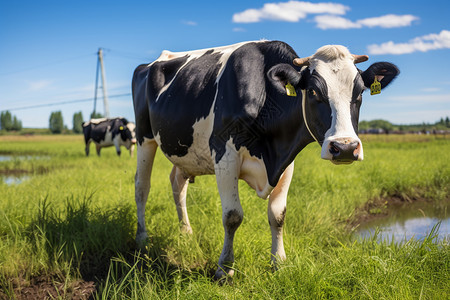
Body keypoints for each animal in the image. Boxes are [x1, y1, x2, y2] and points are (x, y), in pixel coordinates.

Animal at [132, 39, 400, 278]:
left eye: (360, 91)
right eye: (313, 91)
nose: (345, 147)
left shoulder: (287, 160)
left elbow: (278, 215)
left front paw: (279, 263)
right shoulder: (224, 154)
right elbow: (232, 216)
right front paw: (224, 269)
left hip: (184, 152)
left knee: (178, 184)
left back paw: (186, 233)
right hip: (144, 137)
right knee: (142, 186)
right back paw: (142, 238)